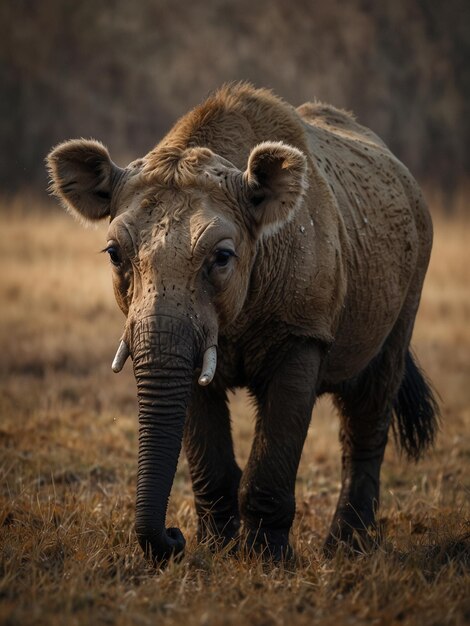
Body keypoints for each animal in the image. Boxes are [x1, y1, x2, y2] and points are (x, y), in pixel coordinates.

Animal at [46, 81, 436, 560]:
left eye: (223, 257)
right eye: (114, 255)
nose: (172, 536)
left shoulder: (303, 327)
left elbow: (281, 429)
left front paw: (267, 560)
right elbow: (202, 433)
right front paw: (215, 552)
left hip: (416, 257)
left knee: (373, 396)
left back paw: (347, 549)